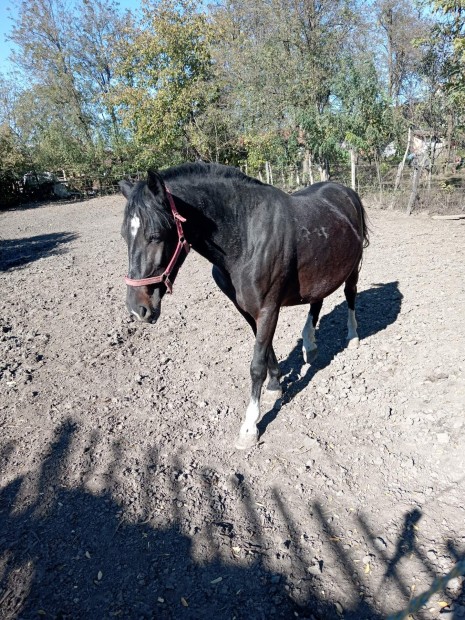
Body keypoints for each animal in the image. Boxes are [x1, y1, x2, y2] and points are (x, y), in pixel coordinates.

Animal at [119, 162, 370, 448]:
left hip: (352, 268)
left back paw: (352, 337)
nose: (138, 309)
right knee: (317, 301)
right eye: (125, 236)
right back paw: (310, 345)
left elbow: (256, 365)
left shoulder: (268, 309)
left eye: (155, 235)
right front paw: (275, 384)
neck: (246, 235)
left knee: (350, 295)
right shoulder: (247, 310)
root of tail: (347, 192)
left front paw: (249, 426)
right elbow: (266, 350)